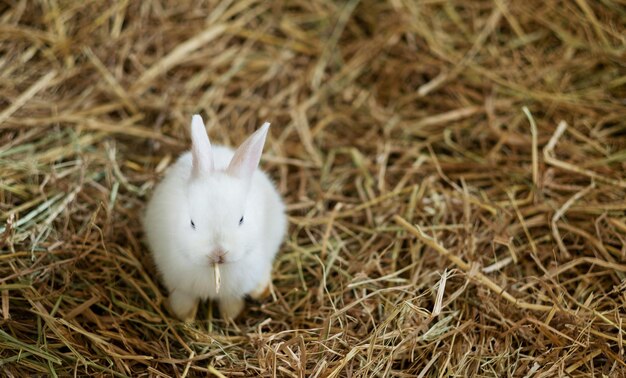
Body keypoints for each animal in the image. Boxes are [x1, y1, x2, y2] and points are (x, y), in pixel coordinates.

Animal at [143, 115, 286, 322]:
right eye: (192, 223)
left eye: (241, 219)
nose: (218, 253)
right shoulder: (180, 286)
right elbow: (184, 301)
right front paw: (185, 317)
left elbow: (230, 303)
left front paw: (230, 318)